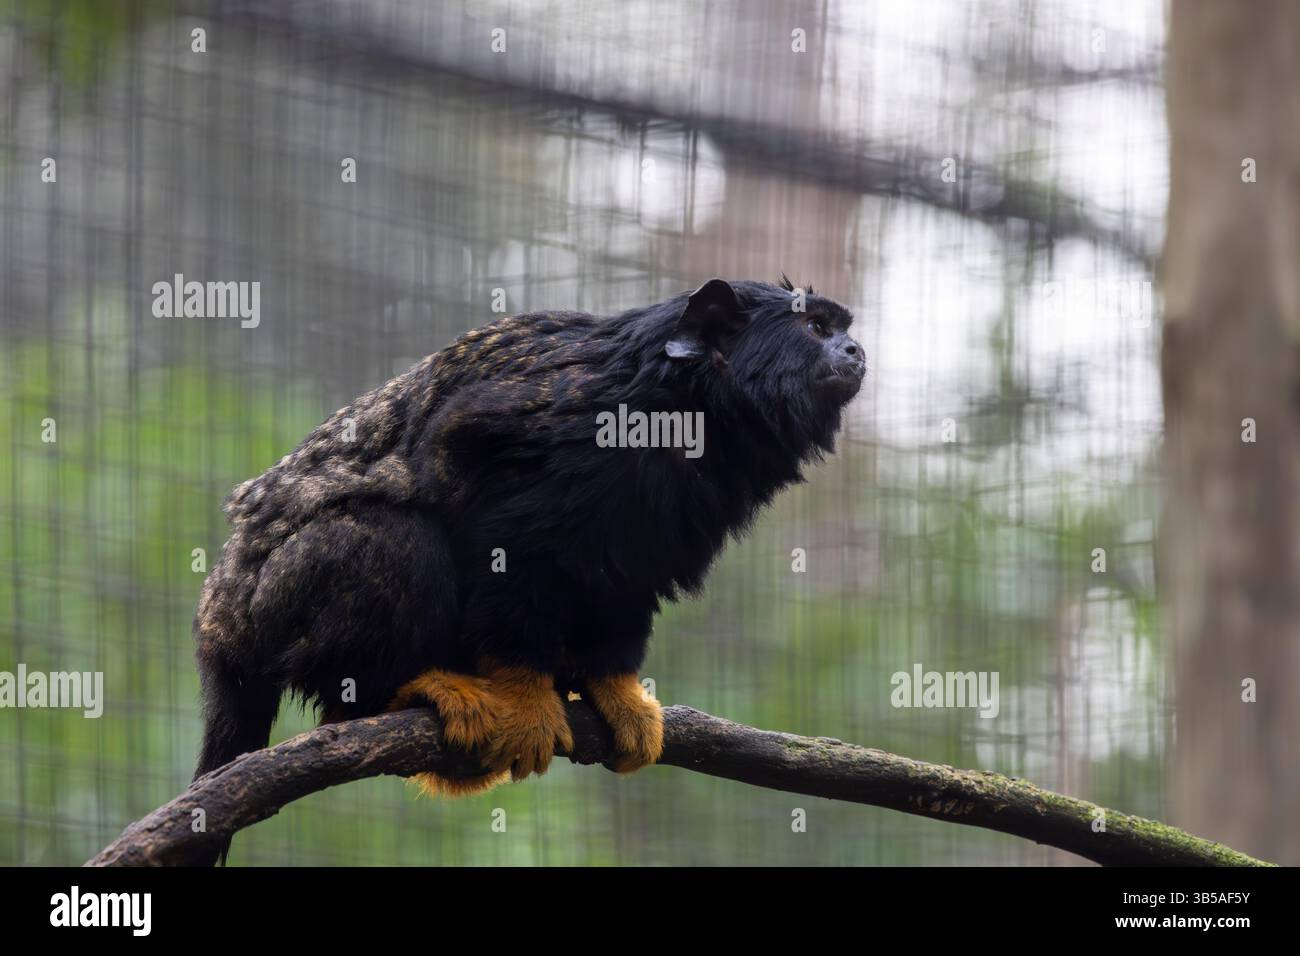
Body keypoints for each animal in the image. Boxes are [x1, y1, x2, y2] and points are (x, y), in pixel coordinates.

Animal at [191, 275, 864, 863]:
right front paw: (524, 691)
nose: (856, 351)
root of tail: (220, 628)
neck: (684, 407)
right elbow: (506, 553)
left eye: (842, 329)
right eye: (815, 327)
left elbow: (624, 583)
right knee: (396, 537)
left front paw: (615, 685)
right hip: (282, 598)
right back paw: (397, 692)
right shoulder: (562, 425)